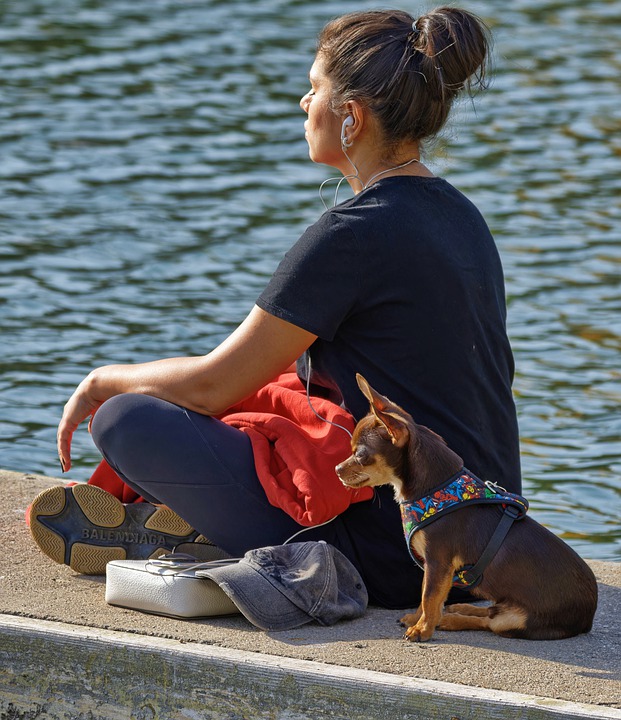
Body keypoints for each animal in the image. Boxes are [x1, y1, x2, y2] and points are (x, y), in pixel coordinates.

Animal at [334, 376, 596, 640]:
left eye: (360, 455)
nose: (336, 469)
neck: (435, 493)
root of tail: (588, 618)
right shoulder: (433, 566)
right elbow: (426, 594)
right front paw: (417, 619)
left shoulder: (438, 562)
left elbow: (429, 597)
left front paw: (422, 629)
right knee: (489, 611)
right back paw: (460, 609)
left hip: (518, 619)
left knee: (490, 622)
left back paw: (451, 620)